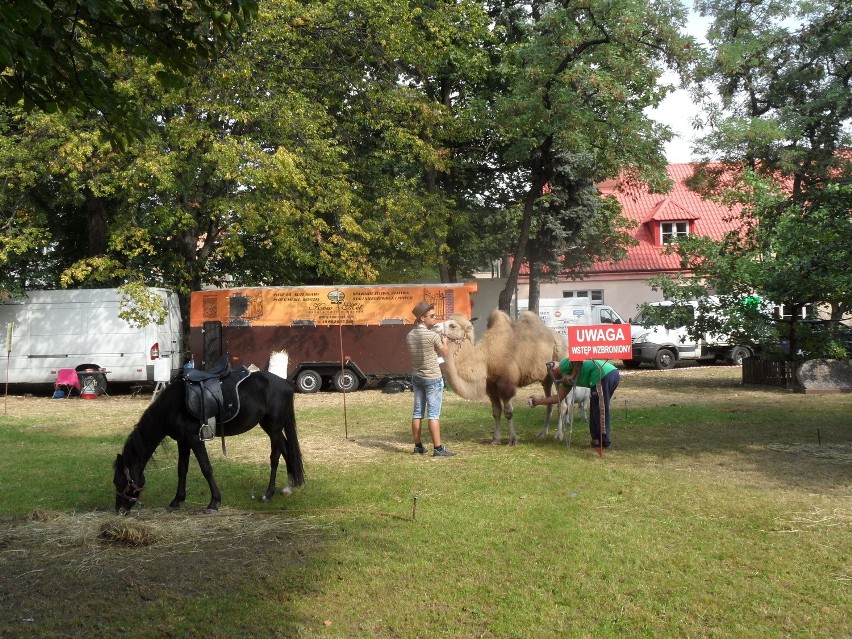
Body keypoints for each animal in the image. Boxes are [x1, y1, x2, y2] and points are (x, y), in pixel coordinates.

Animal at [113, 370, 304, 516]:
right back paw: (288, 487)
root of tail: (285, 383)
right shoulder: (183, 441)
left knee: (275, 456)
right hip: (269, 426)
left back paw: (268, 494)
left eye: (120, 481)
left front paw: (214, 502)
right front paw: (177, 500)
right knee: (287, 450)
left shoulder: (194, 439)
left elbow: (206, 468)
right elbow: (182, 469)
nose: (119, 510)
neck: (171, 406)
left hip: (274, 428)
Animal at [440, 310, 564, 444]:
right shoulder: (491, 385)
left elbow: (508, 412)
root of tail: (560, 338)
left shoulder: (506, 384)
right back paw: (543, 433)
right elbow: (496, 411)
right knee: (550, 401)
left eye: (452, 325)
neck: (485, 358)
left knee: (561, 403)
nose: (435, 326)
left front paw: (513, 439)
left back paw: (559, 435)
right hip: (547, 377)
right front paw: (495, 439)